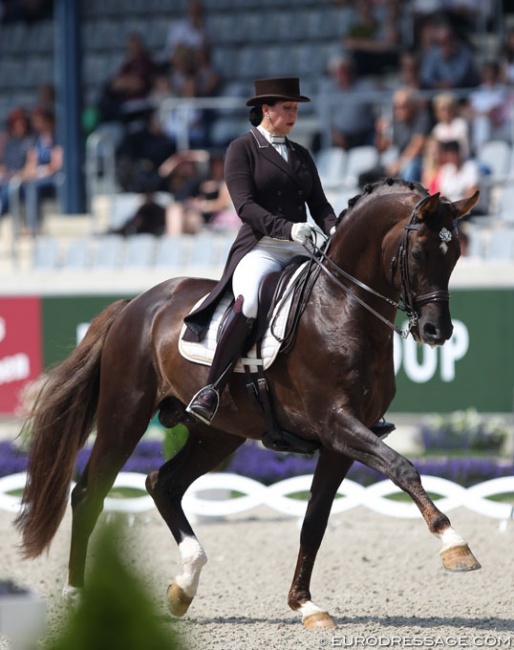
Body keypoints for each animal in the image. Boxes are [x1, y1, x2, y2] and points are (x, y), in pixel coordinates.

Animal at [16, 177, 480, 628]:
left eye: (456, 254)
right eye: (419, 253)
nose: (438, 332)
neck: (342, 308)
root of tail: (137, 304)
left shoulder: (341, 443)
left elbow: (314, 522)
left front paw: (305, 605)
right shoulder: (337, 424)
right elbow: (403, 468)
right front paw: (454, 544)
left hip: (218, 434)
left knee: (162, 483)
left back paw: (184, 585)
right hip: (124, 417)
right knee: (89, 493)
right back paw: (76, 595)